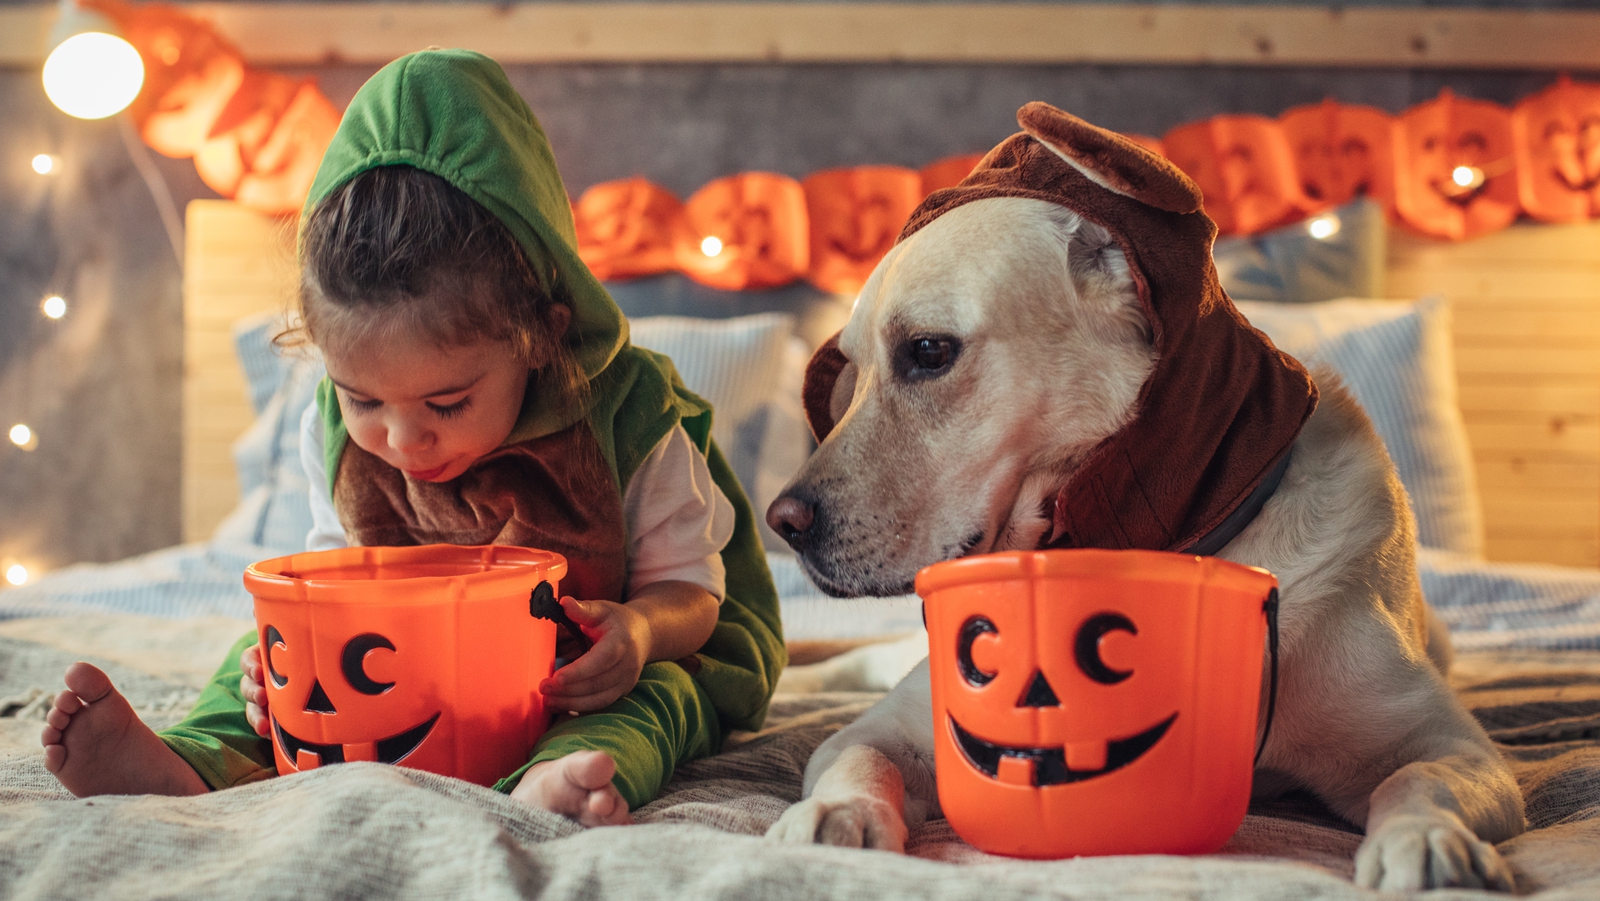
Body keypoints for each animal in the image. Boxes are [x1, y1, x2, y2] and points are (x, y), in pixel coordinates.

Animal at [761, 102, 1523, 889]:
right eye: (850, 372)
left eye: (929, 351)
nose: (781, 522)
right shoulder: (892, 726)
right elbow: (857, 754)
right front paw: (836, 813)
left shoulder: (1458, 746)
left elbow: (1417, 780)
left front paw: (1427, 840)